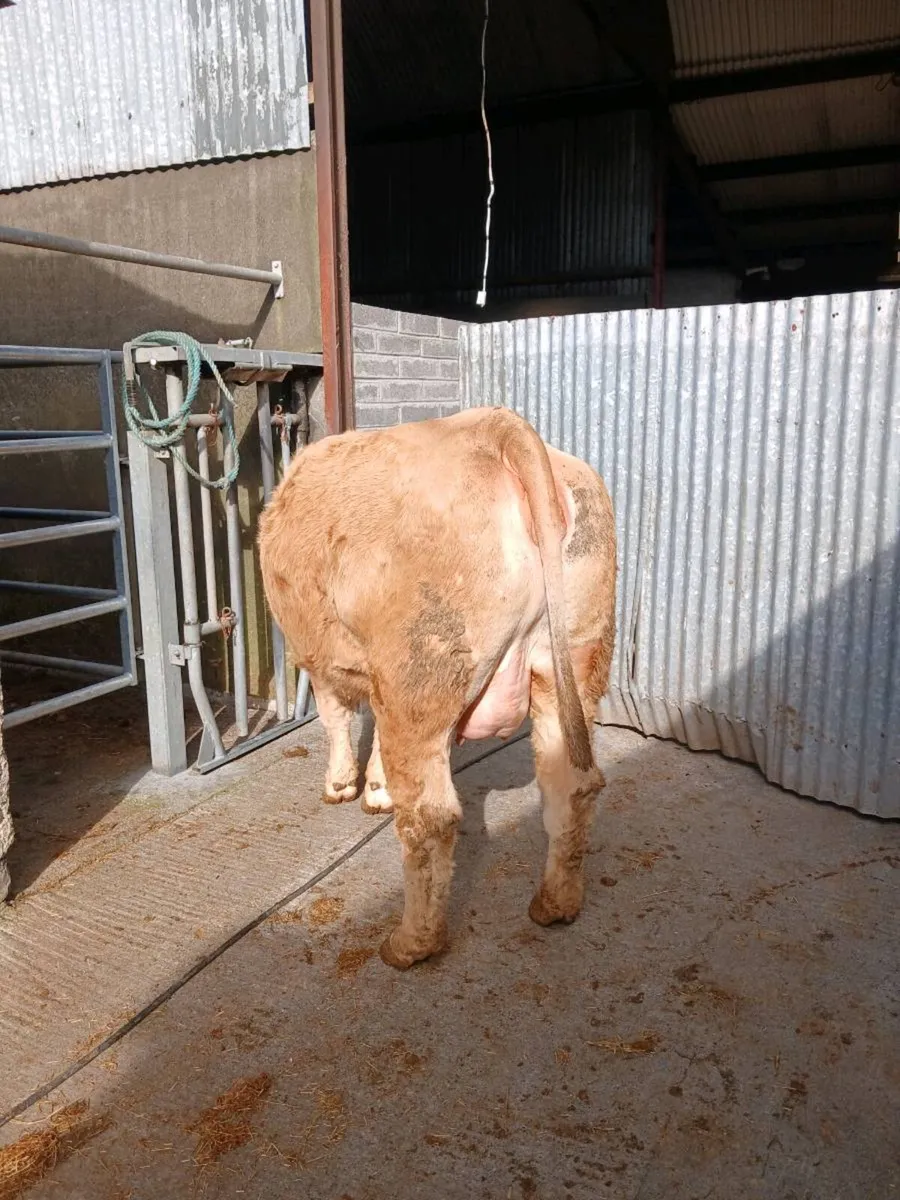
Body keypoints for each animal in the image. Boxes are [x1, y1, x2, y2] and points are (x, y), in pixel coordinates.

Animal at [259, 405, 616, 969]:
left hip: (419, 675)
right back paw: (555, 905)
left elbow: (336, 717)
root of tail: (495, 425)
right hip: (575, 659)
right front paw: (377, 788)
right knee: (572, 785)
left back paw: (410, 944)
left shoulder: (321, 658)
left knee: (431, 818)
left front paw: (342, 785)